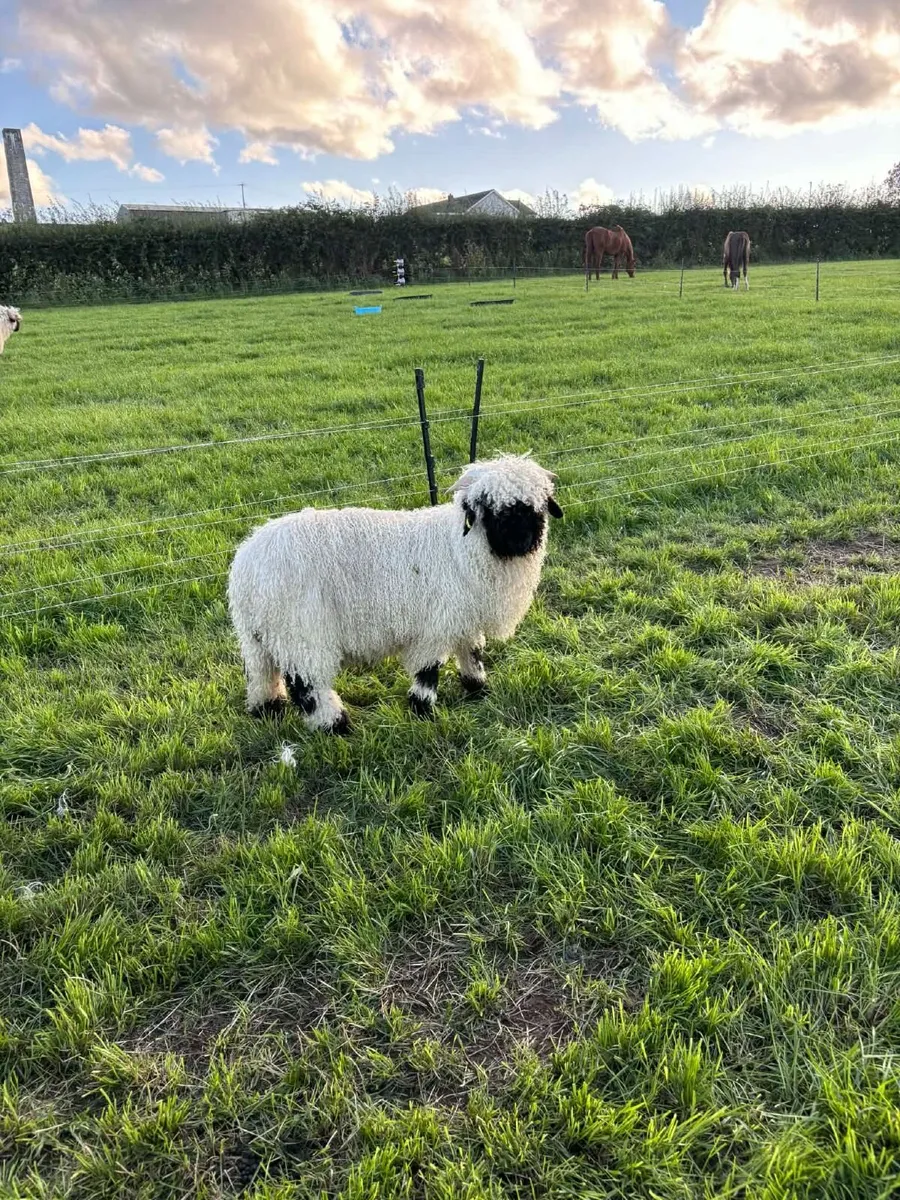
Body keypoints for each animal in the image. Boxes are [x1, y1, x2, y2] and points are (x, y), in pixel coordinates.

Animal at [227, 454, 563, 732]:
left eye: (536, 508)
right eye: (491, 510)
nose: (522, 541)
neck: (461, 549)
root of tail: (246, 564)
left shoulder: (464, 616)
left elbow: (472, 652)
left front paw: (478, 687)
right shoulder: (437, 622)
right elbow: (428, 670)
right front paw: (422, 710)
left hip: (259, 635)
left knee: (261, 673)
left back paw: (267, 709)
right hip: (301, 630)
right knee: (307, 684)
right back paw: (336, 725)